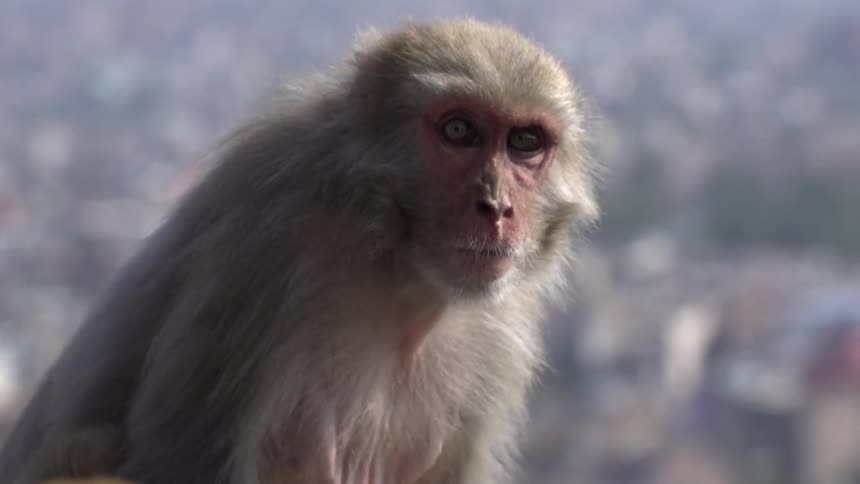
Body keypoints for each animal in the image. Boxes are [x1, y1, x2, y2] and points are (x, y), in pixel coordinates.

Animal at [0, 17, 599, 484]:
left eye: (525, 143)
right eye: (458, 131)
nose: (496, 207)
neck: (397, 269)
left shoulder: (501, 323)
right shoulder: (267, 247)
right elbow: (181, 456)